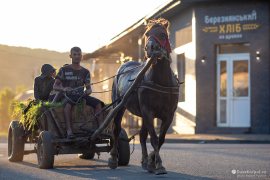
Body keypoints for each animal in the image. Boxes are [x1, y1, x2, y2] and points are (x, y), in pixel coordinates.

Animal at [108, 17, 179, 174]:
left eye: (163, 34)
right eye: (147, 34)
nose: (150, 47)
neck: (160, 80)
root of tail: (124, 65)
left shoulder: (168, 114)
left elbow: (160, 139)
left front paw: (152, 161)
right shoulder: (148, 111)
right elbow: (154, 139)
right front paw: (158, 164)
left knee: (141, 135)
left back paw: (145, 161)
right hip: (119, 105)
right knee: (116, 129)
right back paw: (114, 158)